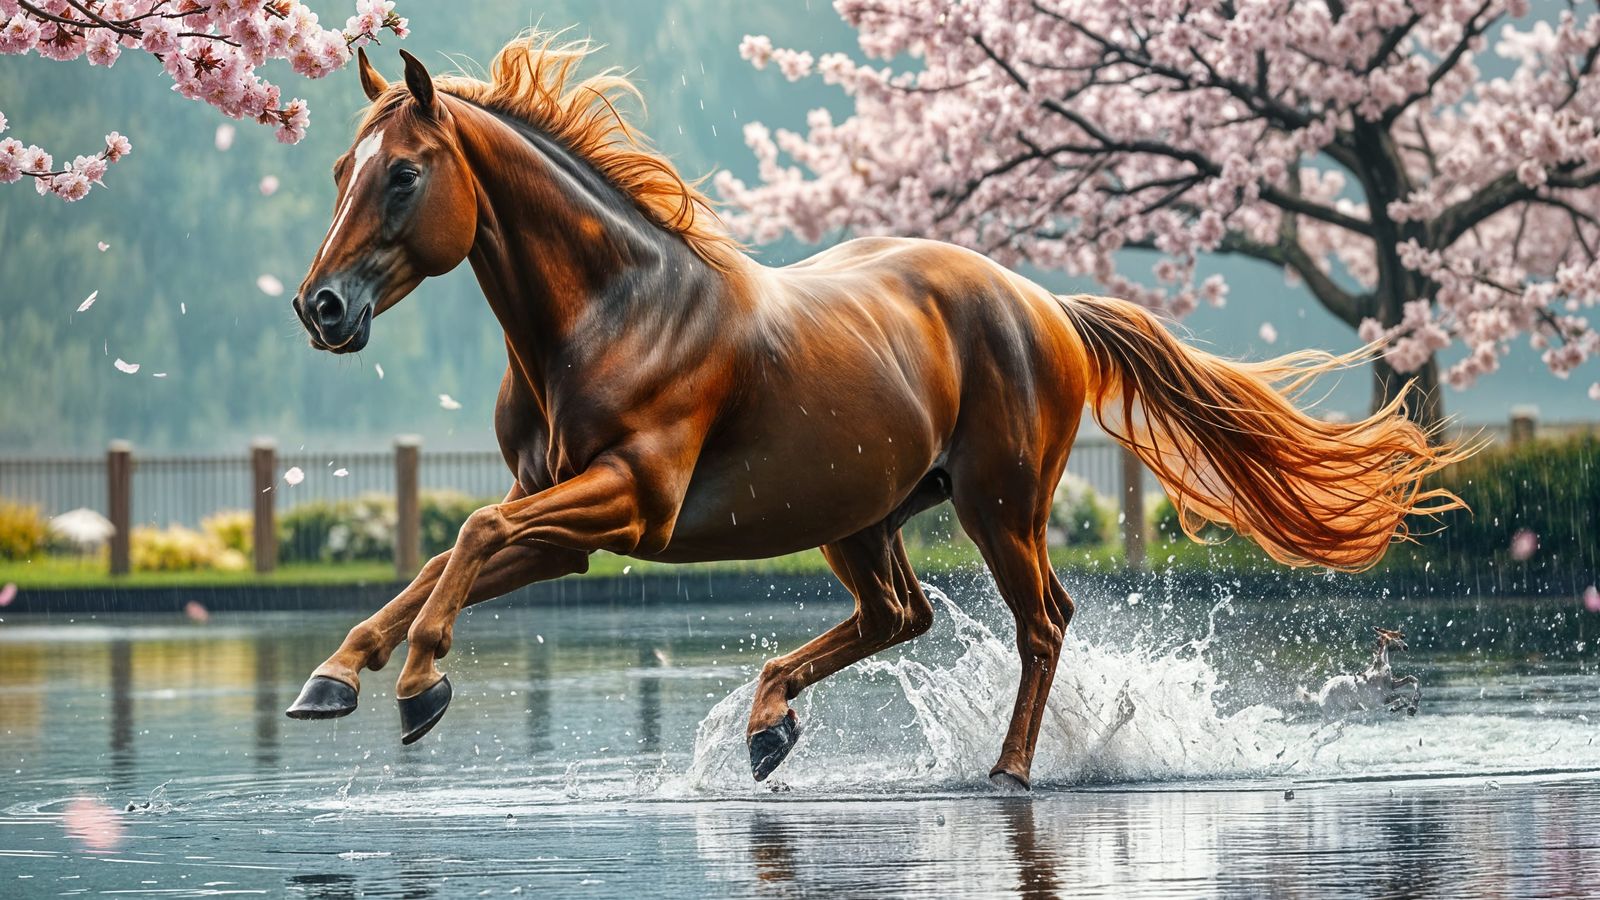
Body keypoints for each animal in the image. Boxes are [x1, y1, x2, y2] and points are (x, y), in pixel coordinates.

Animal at [284, 33, 1468, 790]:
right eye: (341, 167)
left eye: (401, 175)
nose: (320, 307)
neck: (612, 312)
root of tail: (1048, 304)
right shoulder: (567, 522)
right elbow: (450, 556)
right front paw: (335, 679)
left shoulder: (627, 502)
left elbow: (473, 535)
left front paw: (419, 688)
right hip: (859, 516)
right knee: (902, 615)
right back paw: (768, 725)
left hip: (999, 506)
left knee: (1041, 621)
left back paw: (1004, 772)